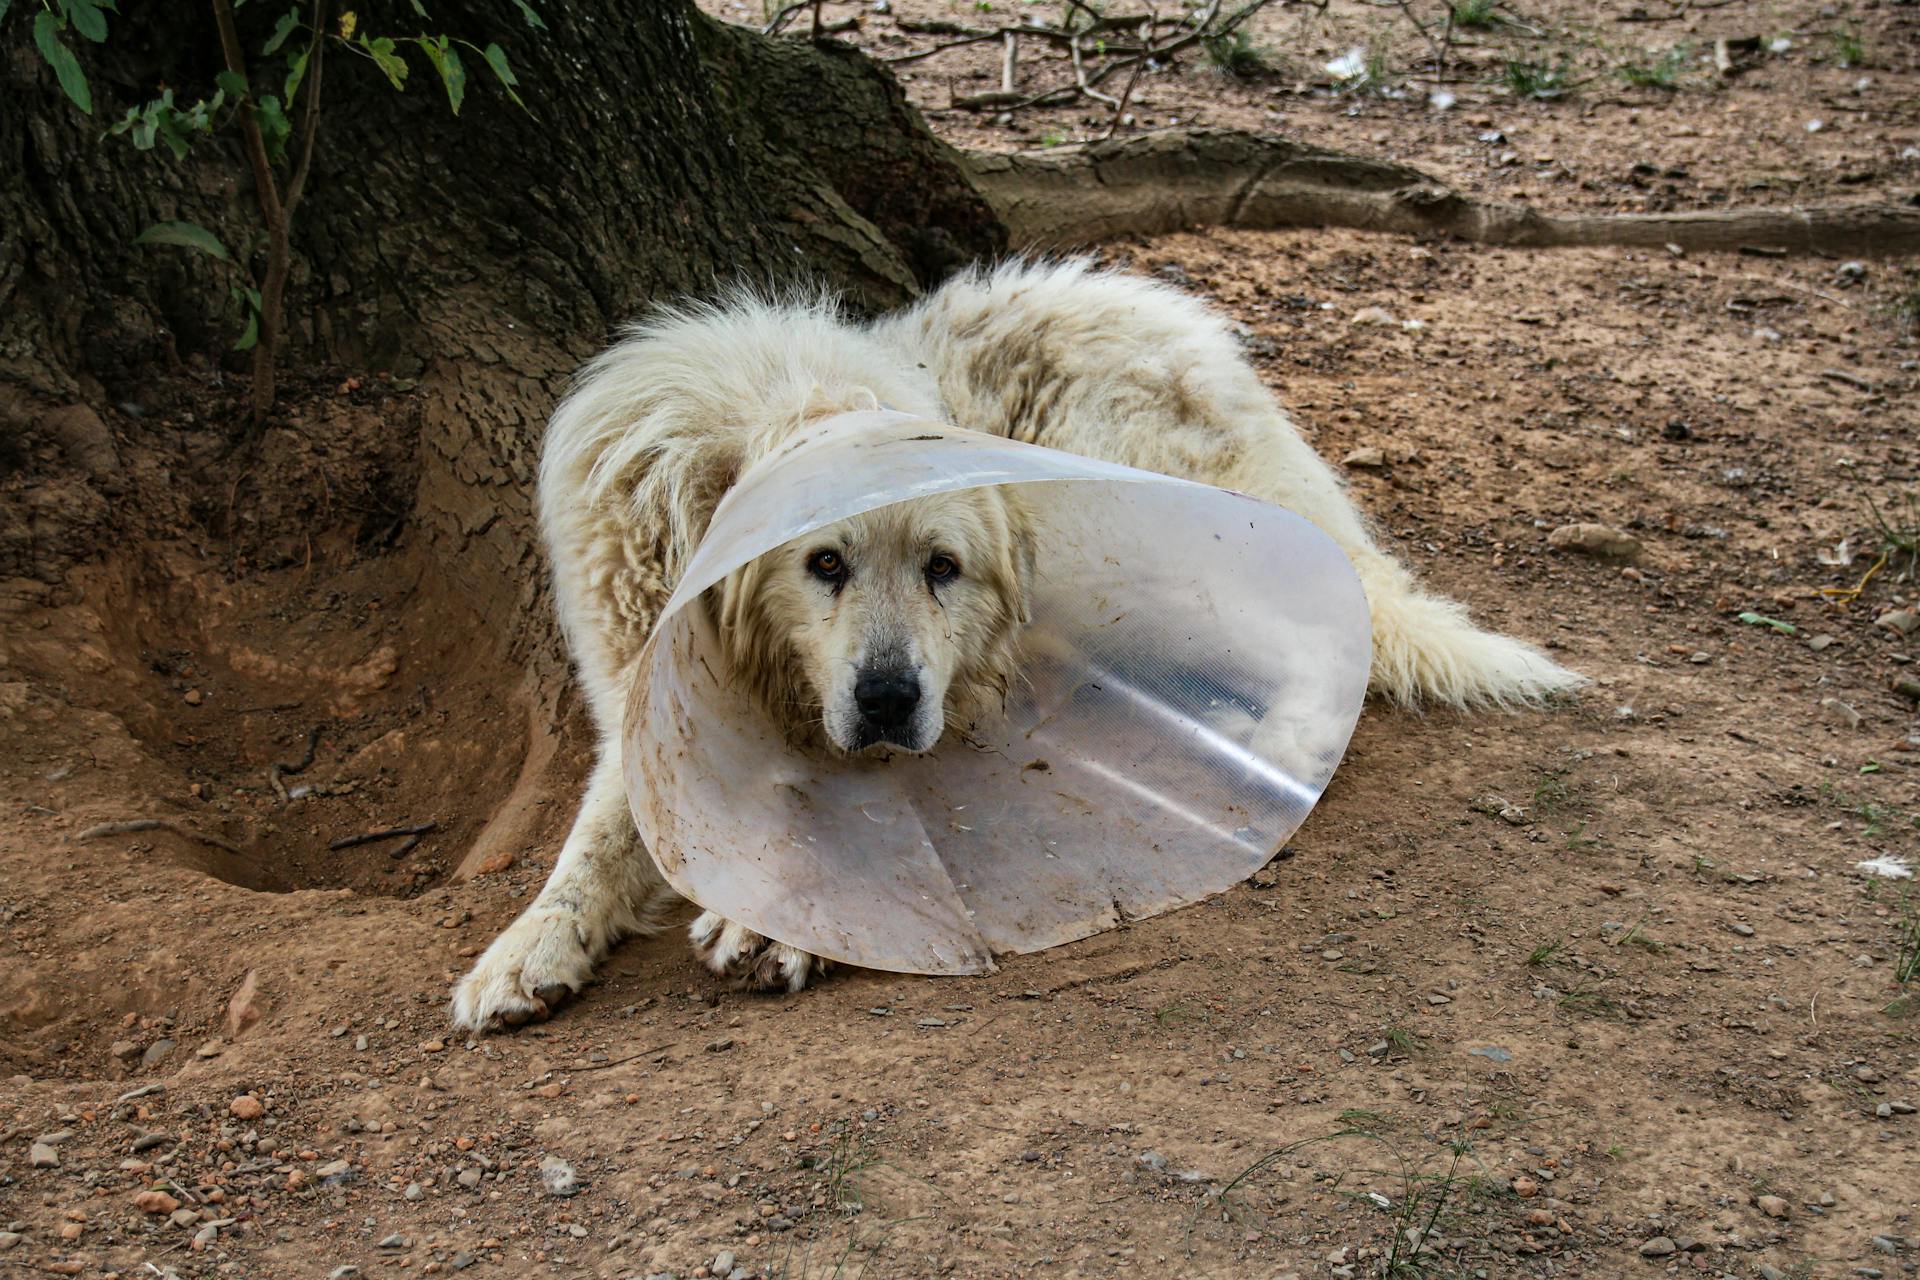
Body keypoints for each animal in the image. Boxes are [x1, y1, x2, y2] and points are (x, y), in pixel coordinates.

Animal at [445, 257, 1574, 1028]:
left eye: (942, 567)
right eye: (824, 564)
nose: (890, 702)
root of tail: (1191, 333)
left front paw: (773, 925)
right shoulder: (651, 705)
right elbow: (596, 840)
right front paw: (529, 946)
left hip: (1119, 539)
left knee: (1322, 622)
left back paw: (1283, 741)